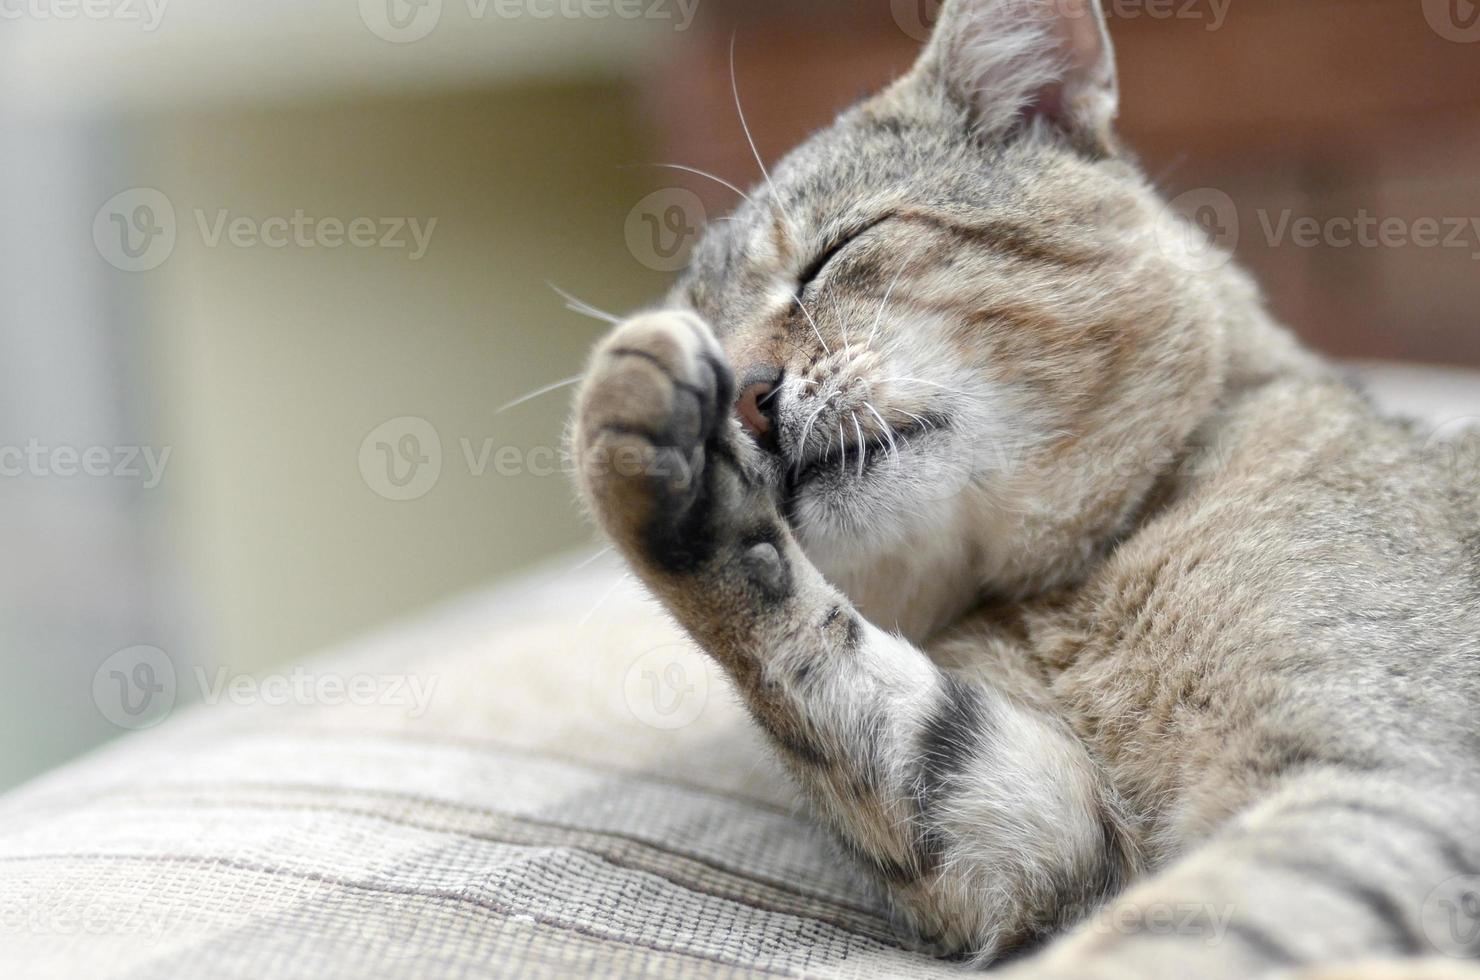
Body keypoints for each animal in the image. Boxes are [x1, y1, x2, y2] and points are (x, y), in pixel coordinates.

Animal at [565, 0, 1480, 977]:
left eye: (834, 253)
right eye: (709, 333)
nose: (742, 395)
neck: (1062, 594)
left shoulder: (1383, 776)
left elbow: (1164, 936)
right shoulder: (1034, 825)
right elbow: (828, 662)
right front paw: (644, 459)